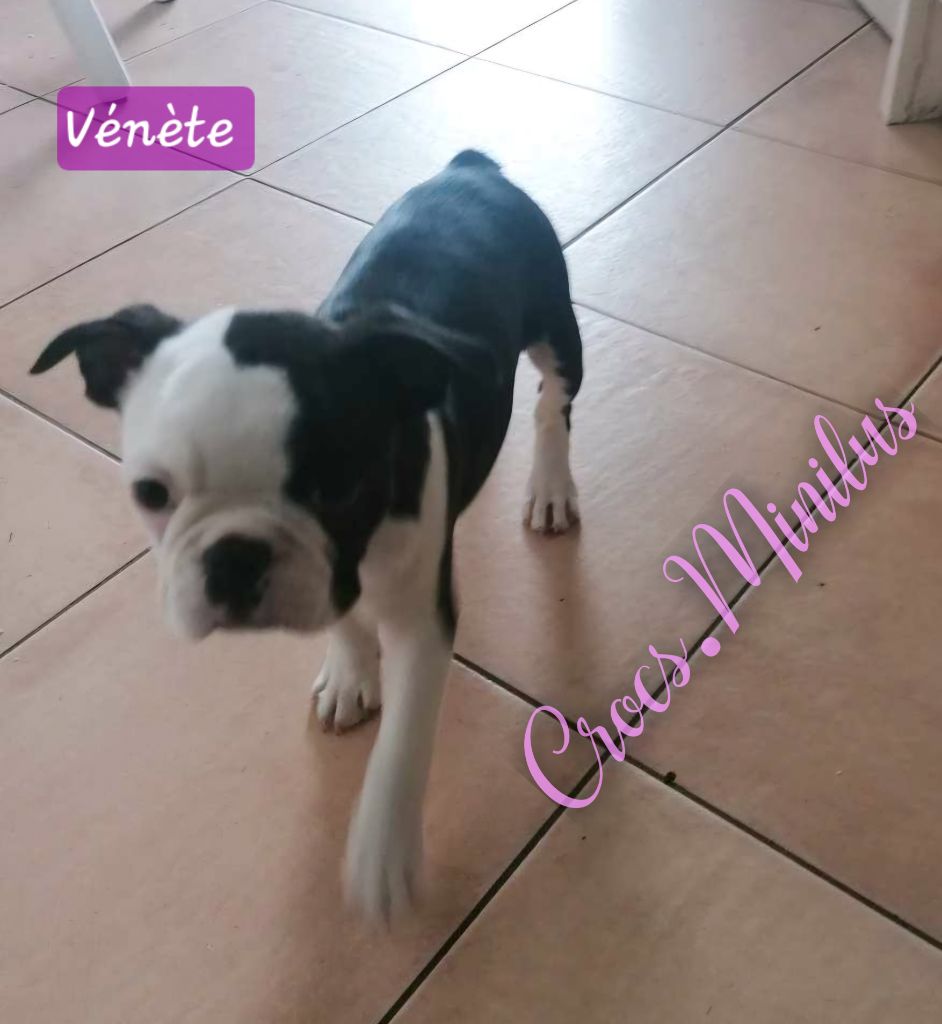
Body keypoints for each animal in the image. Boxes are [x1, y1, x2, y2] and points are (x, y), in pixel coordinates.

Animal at [31, 150, 583, 921]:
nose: (234, 557)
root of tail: (471, 167)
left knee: (552, 406)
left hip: (557, 326)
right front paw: (350, 673)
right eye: (150, 495)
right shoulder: (337, 580)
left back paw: (551, 487)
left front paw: (382, 855)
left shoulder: (421, 619)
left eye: (337, 489)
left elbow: (403, 741)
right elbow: (343, 615)